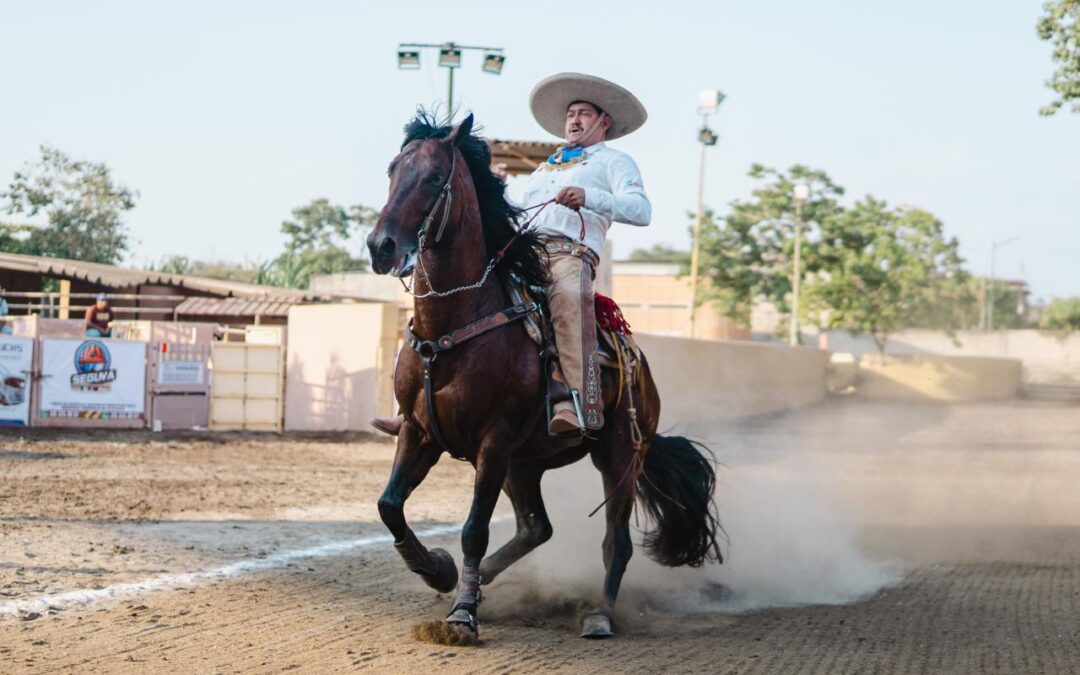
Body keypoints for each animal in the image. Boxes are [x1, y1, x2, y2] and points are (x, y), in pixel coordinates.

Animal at [367, 110, 721, 635]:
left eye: (433, 177)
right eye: (393, 170)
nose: (381, 246)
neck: (455, 323)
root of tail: (641, 368)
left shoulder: (492, 442)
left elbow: (474, 530)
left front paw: (463, 613)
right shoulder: (418, 431)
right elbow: (390, 506)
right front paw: (439, 571)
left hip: (618, 456)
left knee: (616, 542)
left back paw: (599, 615)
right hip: (524, 463)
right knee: (537, 527)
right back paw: (482, 582)